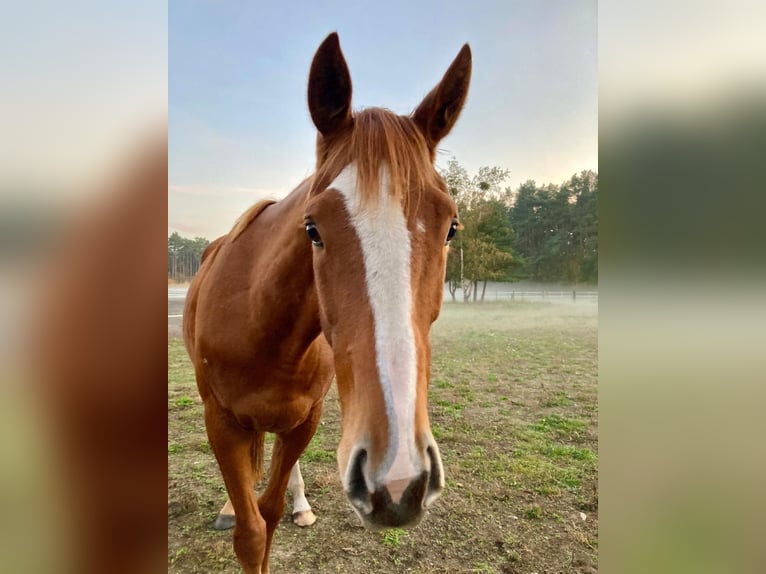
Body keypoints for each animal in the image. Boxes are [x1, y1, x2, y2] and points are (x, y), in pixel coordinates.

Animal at [184, 33, 474, 572]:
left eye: (450, 227)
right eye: (312, 228)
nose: (397, 480)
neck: (259, 328)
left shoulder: (306, 422)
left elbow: (269, 513)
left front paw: (289, 506)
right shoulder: (222, 423)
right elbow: (250, 531)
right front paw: (235, 512)